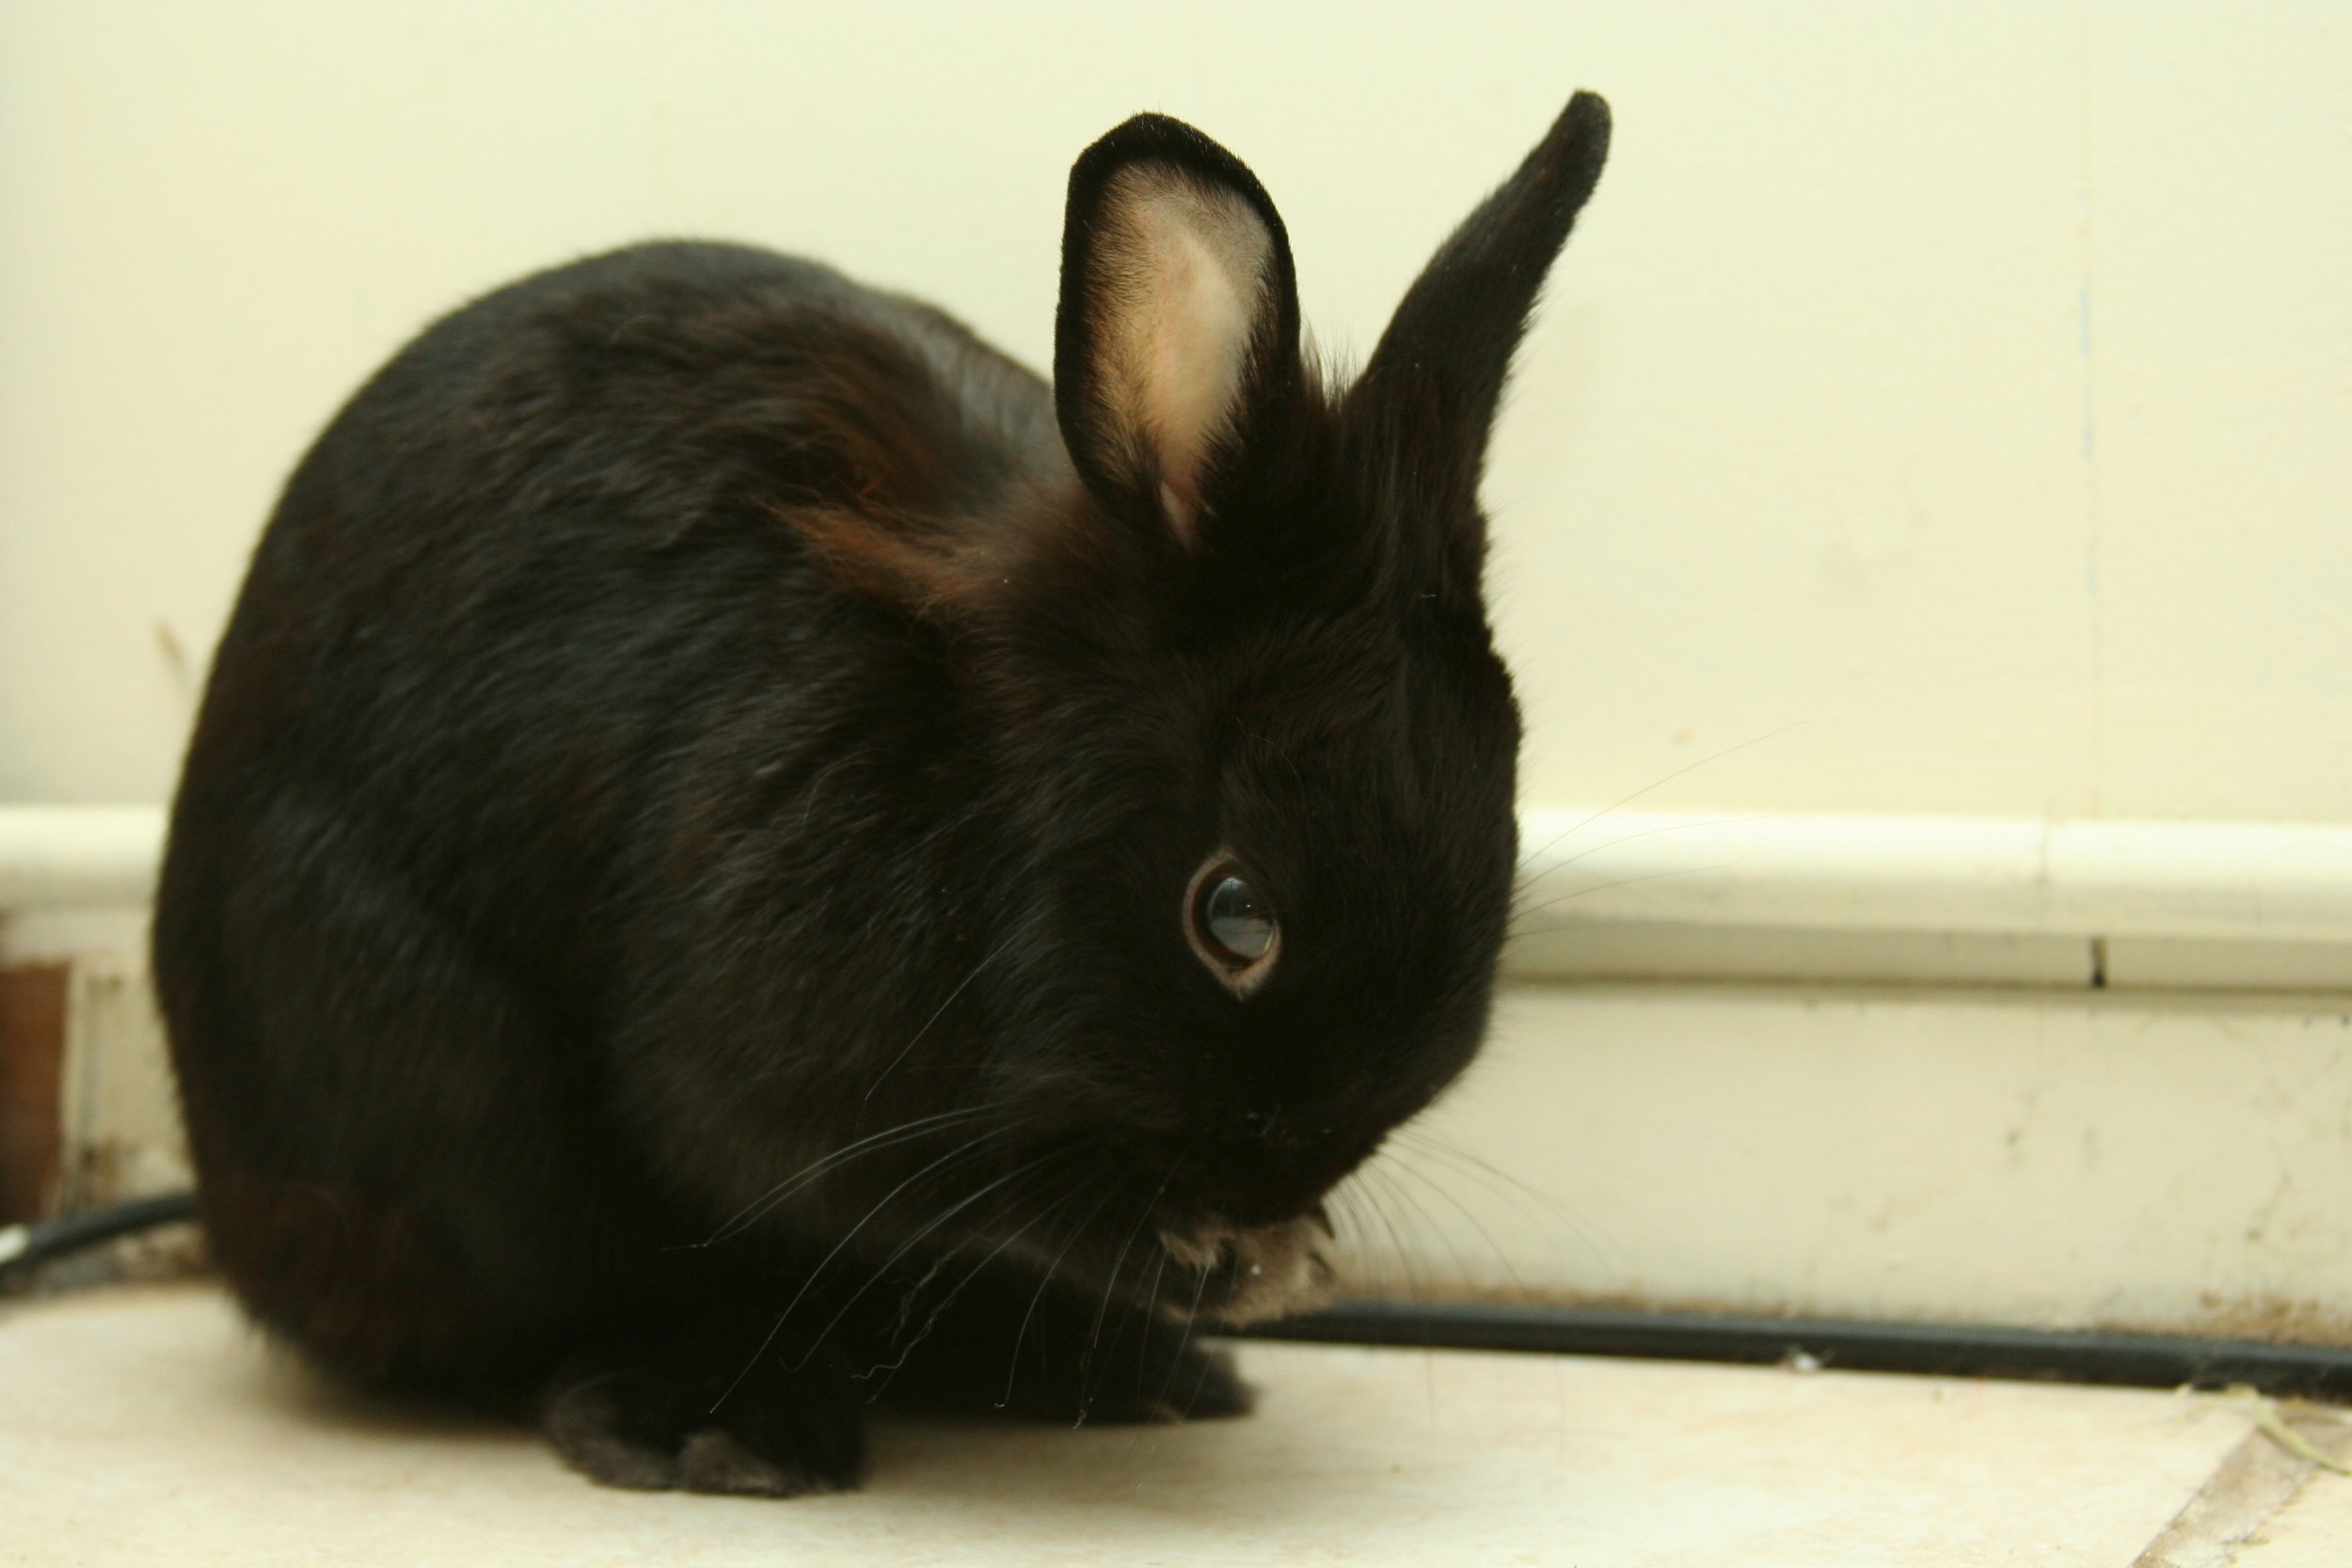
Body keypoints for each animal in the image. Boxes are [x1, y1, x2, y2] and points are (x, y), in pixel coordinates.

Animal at [151, 92, 1611, 1496]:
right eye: (1233, 913)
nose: (1287, 1169)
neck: (980, 789)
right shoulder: (772, 1055)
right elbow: (902, 1173)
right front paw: (1239, 1260)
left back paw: (1129, 1376)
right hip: (439, 1092)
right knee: (546, 1317)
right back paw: (715, 1426)